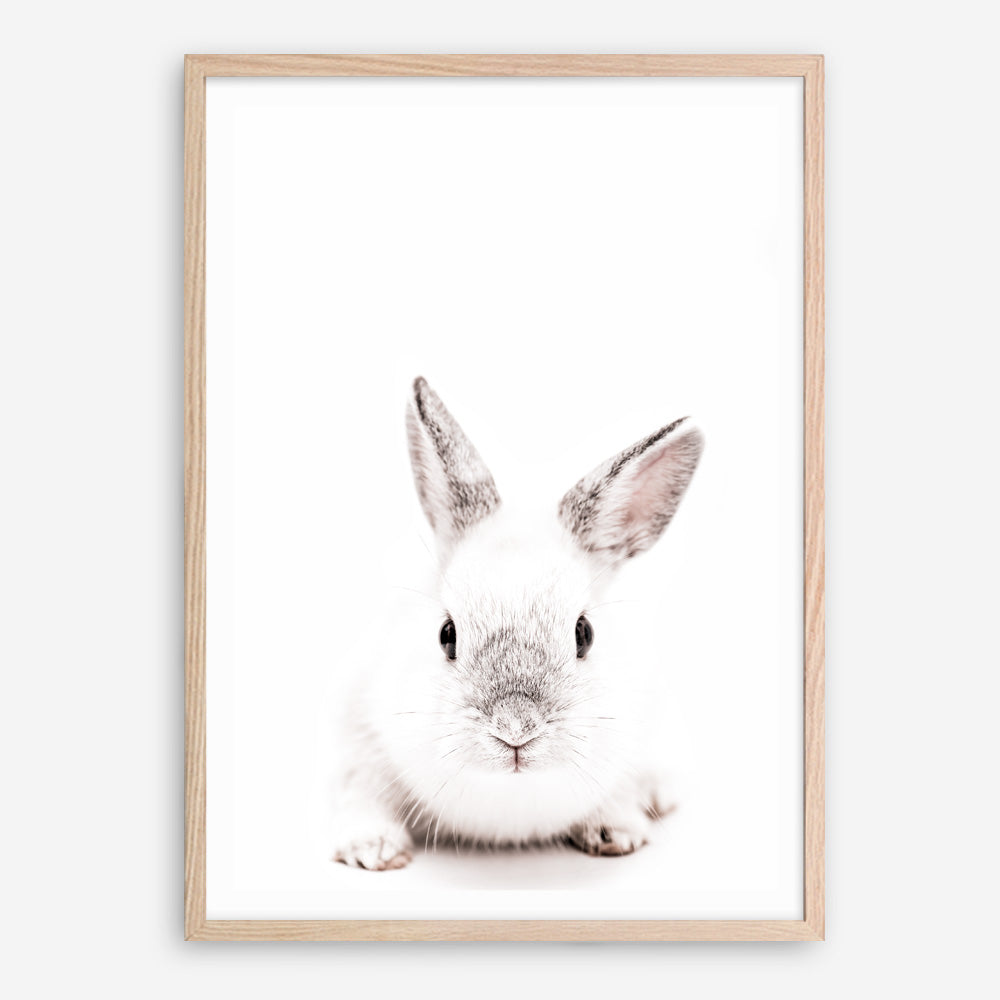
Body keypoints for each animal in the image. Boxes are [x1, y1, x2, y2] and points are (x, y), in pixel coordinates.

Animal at [330, 376, 703, 870]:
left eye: (584, 634)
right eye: (446, 634)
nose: (515, 729)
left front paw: (616, 832)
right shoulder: (359, 743)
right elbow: (361, 795)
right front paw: (372, 849)